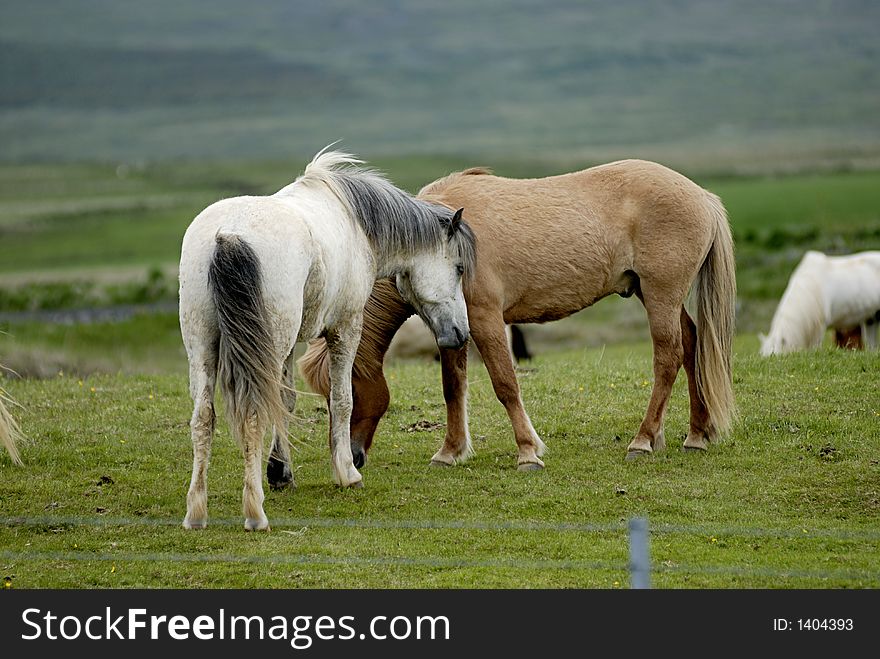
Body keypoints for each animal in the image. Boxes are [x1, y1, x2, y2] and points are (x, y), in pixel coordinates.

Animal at [177, 150, 474, 532]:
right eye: (459, 268)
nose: (461, 333)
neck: (354, 221)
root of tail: (228, 236)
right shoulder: (345, 328)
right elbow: (342, 399)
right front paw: (346, 472)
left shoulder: (288, 347)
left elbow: (286, 401)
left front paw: (280, 472)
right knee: (254, 414)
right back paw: (255, 512)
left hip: (204, 346)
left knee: (203, 418)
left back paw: (196, 512)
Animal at [300, 160, 736, 470]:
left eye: (348, 392)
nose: (353, 457)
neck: (447, 243)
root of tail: (702, 196)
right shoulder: (451, 327)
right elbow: (452, 387)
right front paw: (450, 452)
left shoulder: (485, 319)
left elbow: (505, 384)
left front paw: (528, 451)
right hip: (653, 294)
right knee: (692, 345)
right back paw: (696, 434)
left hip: (661, 295)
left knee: (668, 357)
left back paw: (643, 440)